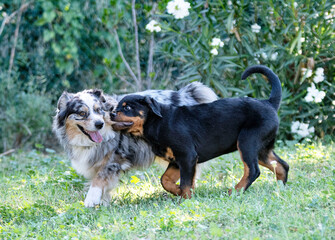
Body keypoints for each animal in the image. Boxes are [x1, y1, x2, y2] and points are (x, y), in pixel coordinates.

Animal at [111, 64, 290, 198]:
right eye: (117, 106)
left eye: (127, 107)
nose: (111, 113)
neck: (157, 121)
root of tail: (269, 103)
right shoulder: (176, 160)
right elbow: (165, 180)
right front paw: (177, 192)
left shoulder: (187, 155)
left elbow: (185, 182)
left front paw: (184, 198)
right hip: (261, 148)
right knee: (282, 165)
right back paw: (280, 187)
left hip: (247, 141)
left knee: (252, 170)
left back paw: (234, 192)